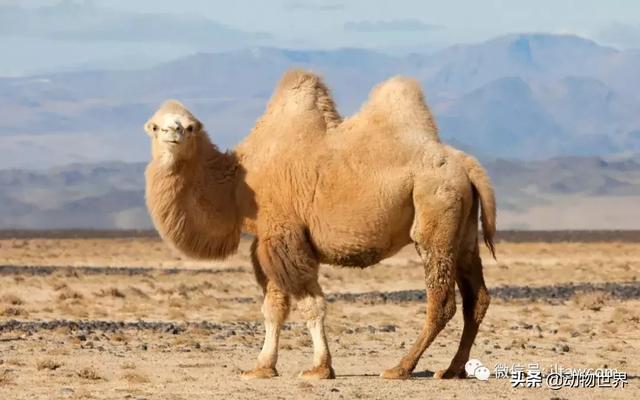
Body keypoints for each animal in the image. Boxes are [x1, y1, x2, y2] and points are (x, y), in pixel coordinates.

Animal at [144, 69, 496, 382]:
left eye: (190, 127)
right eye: (155, 126)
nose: (173, 133)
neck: (238, 185)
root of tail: (467, 164)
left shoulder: (284, 236)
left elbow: (310, 305)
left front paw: (319, 369)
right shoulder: (267, 242)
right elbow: (273, 307)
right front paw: (262, 367)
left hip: (435, 212)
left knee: (442, 301)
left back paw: (400, 368)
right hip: (463, 232)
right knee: (477, 298)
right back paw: (452, 370)